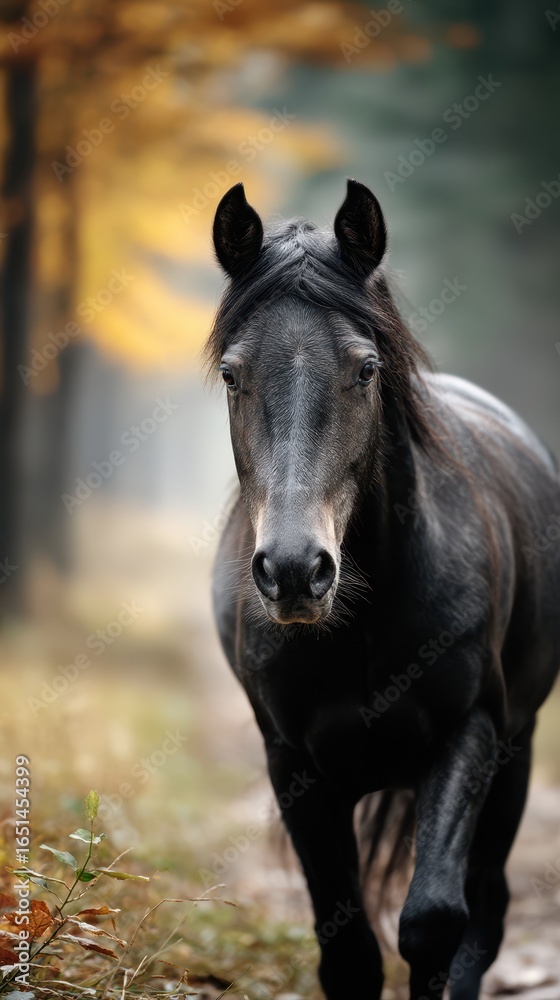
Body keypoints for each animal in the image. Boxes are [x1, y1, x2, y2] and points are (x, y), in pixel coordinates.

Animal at [207, 179, 560, 999]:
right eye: (232, 374)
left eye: (366, 369)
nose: (295, 571)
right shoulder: (294, 766)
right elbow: (349, 953)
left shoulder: (471, 734)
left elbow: (433, 922)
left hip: (518, 754)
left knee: (486, 909)